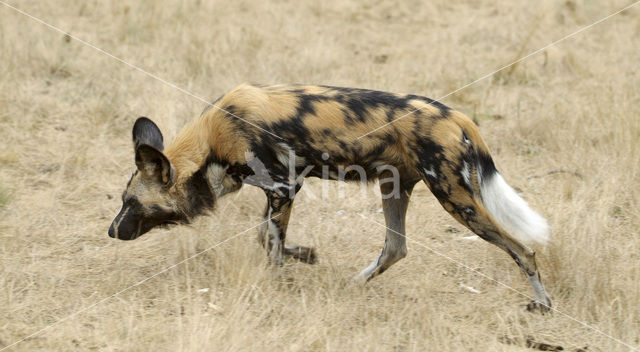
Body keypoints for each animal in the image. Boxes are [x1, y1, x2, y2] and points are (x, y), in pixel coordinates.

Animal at [107, 84, 552, 310]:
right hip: (394, 188)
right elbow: (267, 237)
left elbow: (271, 246)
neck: (211, 140)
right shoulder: (281, 191)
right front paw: (304, 256)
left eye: (132, 204)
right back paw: (351, 284)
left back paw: (542, 303)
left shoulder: (283, 187)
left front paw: (276, 286)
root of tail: (456, 116)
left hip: (456, 199)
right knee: (395, 248)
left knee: (523, 250)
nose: (111, 231)